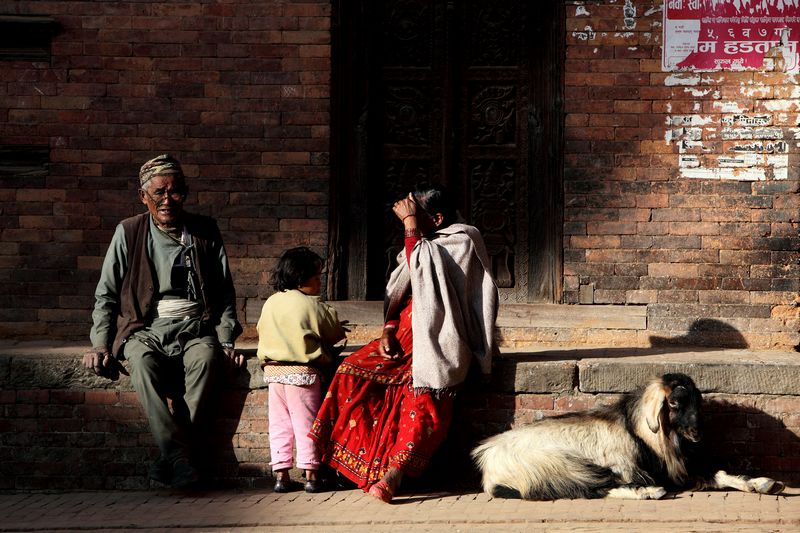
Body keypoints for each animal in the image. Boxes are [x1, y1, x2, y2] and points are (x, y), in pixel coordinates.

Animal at [472, 372, 784, 496]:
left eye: (698, 400)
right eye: (674, 403)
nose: (697, 432)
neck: (639, 433)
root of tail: (488, 462)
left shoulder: (679, 471)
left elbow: (716, 474)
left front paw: (764, 484)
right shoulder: (630, 467)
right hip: (561, 465)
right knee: (591, 488)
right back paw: (649, 493)